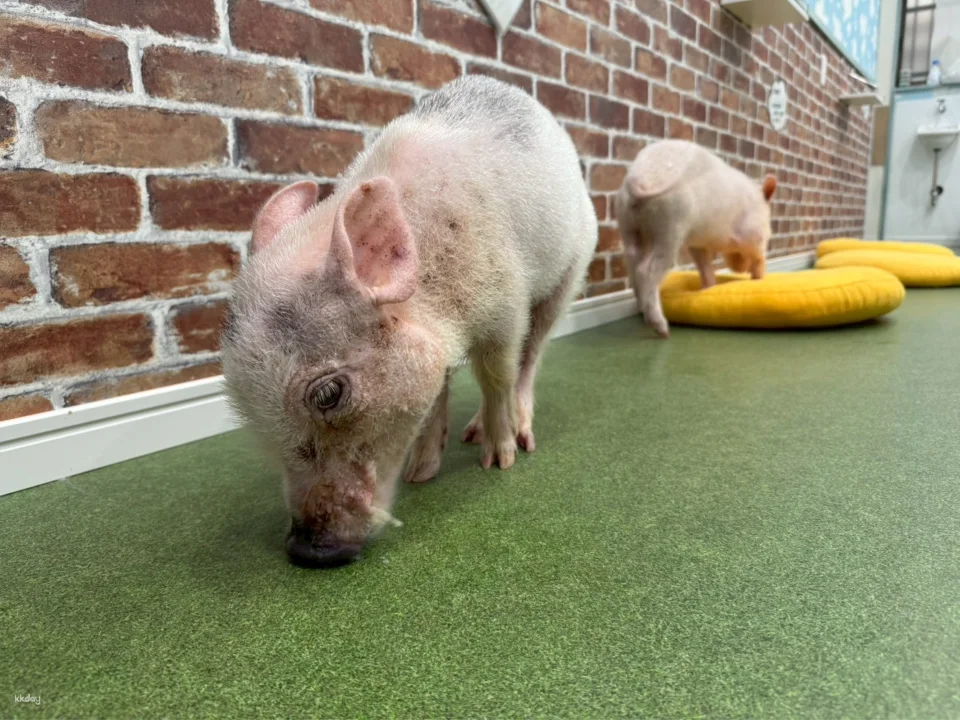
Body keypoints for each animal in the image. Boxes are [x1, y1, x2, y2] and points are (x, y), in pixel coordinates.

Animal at [220, 76, 598, 568]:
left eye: (328, 394)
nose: (305, 552)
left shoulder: (506, 301)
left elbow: (496, 375)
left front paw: (499, 461)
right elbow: (438, 388)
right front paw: (421, 475)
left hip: (571, 271)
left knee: (531, 356)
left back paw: (518, 433)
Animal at [615, 139, 777, 338]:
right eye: (769, 230)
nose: (740, 270)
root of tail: (641, 177)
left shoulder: (697, 243)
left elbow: (705, 266)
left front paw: (708, 289)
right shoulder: (753, 234)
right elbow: (758, 257)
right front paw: (759, 279)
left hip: (626, 219)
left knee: (631, 257)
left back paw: (642, 307)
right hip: (671, 224)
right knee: (646, 269)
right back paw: (662, 330)